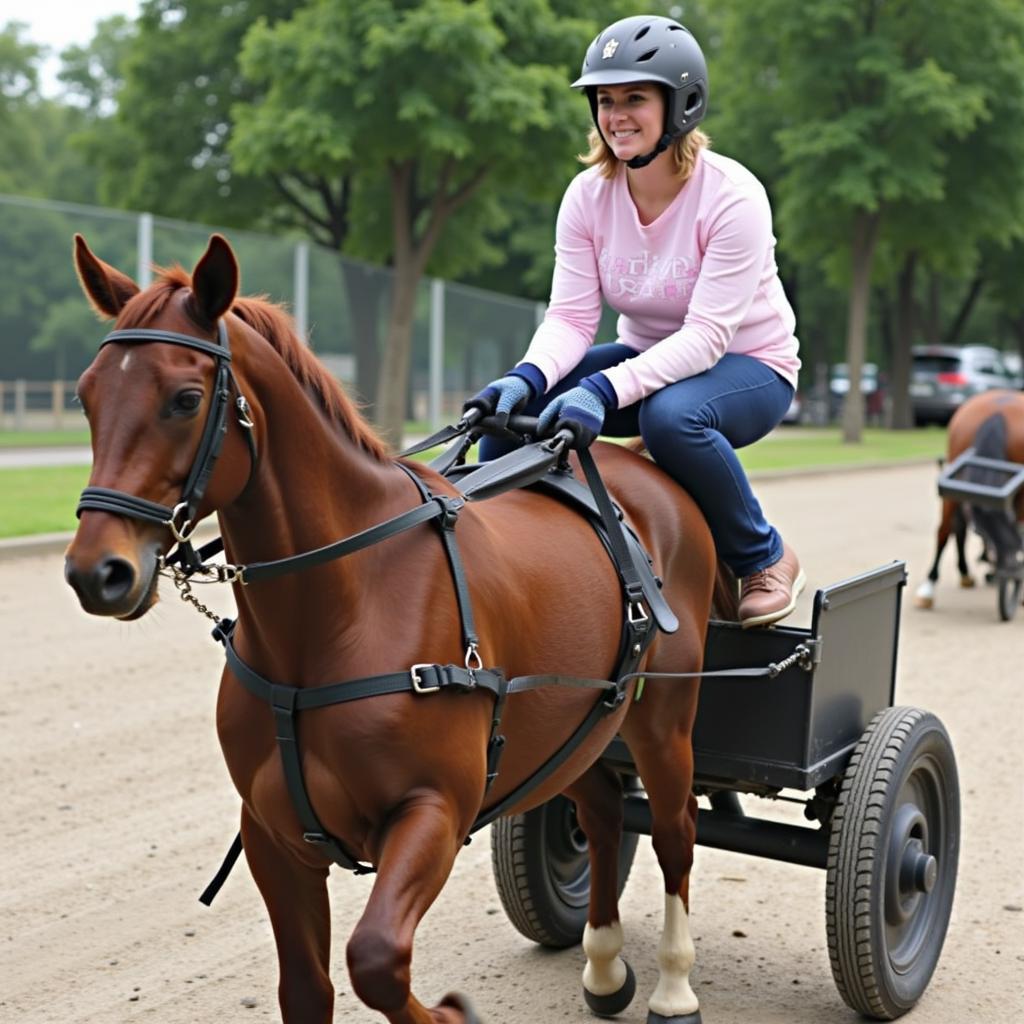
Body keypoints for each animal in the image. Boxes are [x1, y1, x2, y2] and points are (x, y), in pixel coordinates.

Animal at [66, 234, 720, 1024]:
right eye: (87, 395)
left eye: (185, 400)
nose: (96, 571)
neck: (337, 614)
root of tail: (647, 475)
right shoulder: (273, 836)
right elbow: (307, 988)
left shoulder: (432, 812)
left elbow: (377, 960)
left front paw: (450, 1011)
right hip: (582, 720)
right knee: (599, 813)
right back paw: (602, 966)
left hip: (664, 717)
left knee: (676, 834)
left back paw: (676, 985)